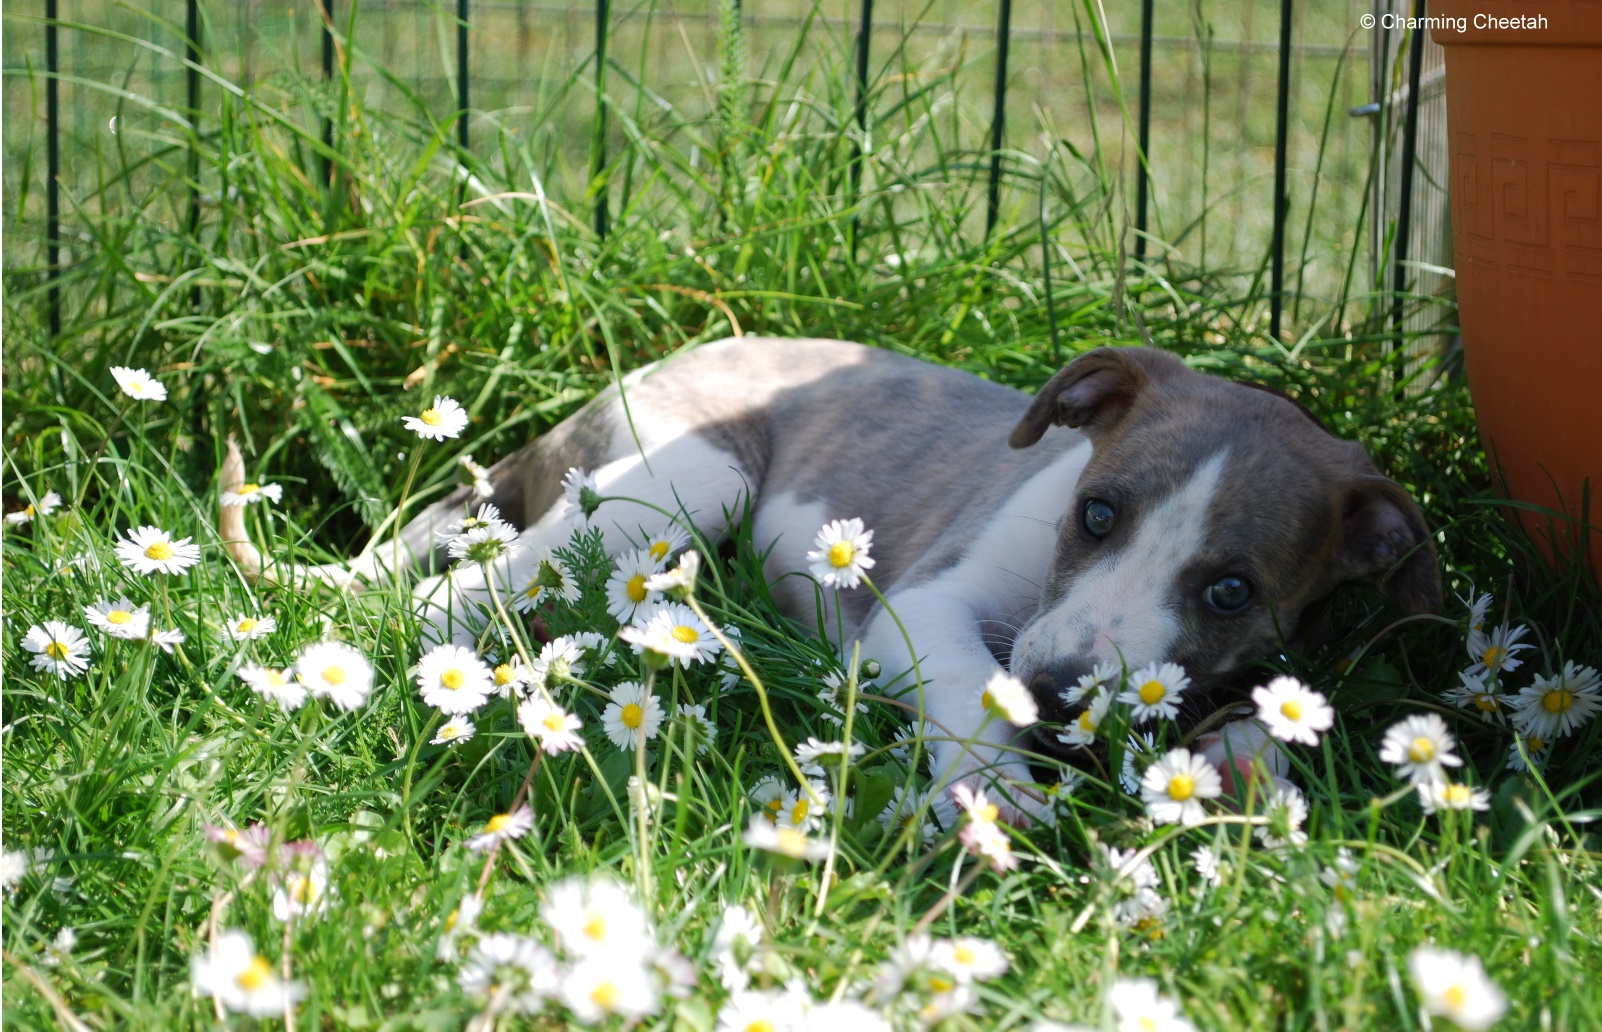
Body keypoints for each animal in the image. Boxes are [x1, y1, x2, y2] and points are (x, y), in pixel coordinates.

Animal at [222, 338, 1441, 814]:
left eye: (1231, 591)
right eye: (1098, 514)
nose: (1056, 698)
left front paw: (1239, 769)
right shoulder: (929, 603)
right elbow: (968, 687)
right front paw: (995, 797)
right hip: (686, 480)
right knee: (450, 592)